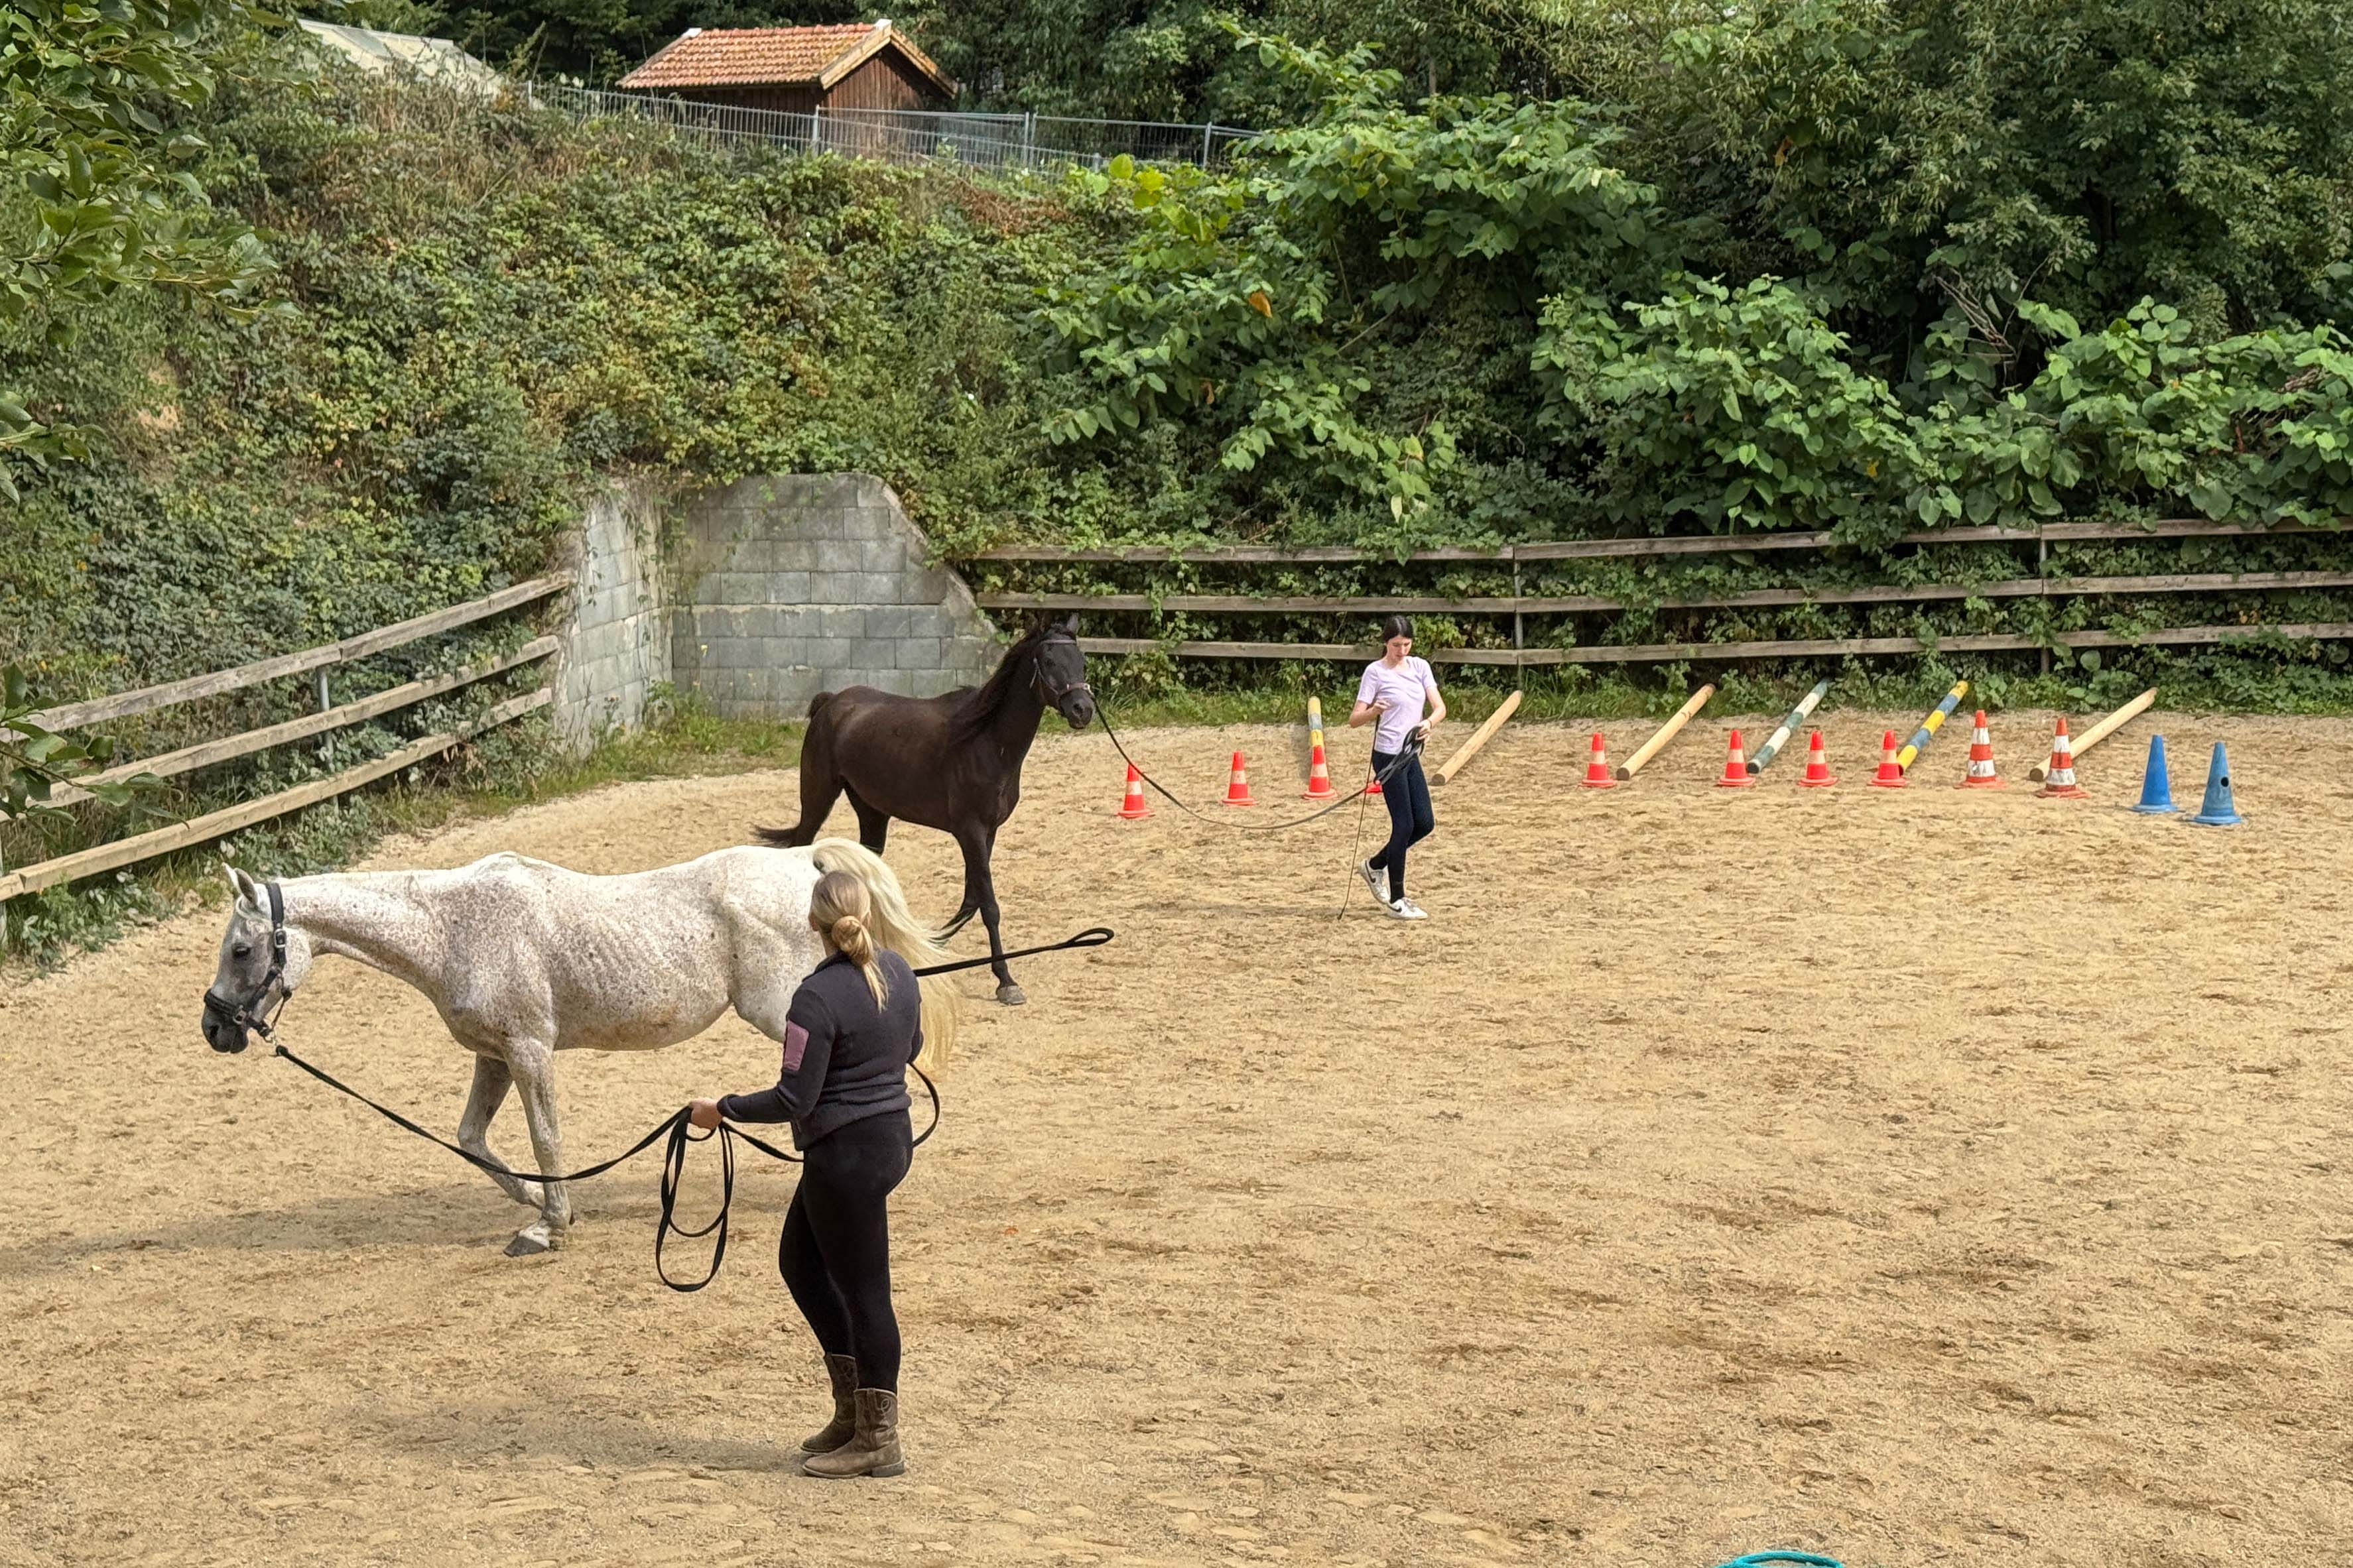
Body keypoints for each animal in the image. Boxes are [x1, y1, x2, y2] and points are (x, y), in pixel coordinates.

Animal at [199, 840, 955, 1257]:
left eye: (241, 949)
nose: (214, 1028)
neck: (453, 927)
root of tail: (802, 860)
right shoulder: (494, 1055)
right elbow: (472, 1139)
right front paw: (539, 1208)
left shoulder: (530, 1050)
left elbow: (545, 1137)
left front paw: (552, 1224)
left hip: (786, 1010)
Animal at [754, 615, 1094, 1006]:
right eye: (1050, 661)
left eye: (1082, 661)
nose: (1083, 709)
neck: (985, 740)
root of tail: (832, 702)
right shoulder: (971, 831)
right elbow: (989, 905)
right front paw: (1006, 981)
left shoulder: (988, 832)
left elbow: (972, 899)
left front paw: (933, 945)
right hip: (817, 797)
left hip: (872, 812)